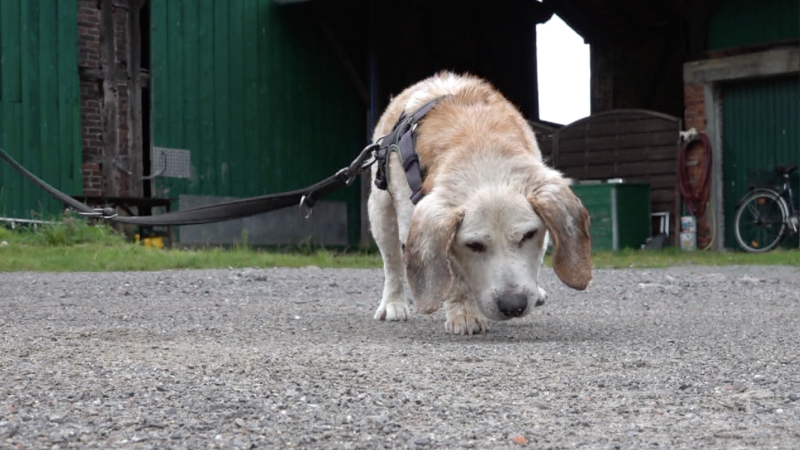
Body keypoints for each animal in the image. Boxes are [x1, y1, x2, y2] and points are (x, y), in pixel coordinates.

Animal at [366, 72, 592, 334]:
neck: (480, 146)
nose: (513, 306)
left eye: (528, 235)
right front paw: (464, 314)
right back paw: (393, 303)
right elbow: (453, 274)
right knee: (392, 262)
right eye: (474, 245)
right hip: (381, 212)